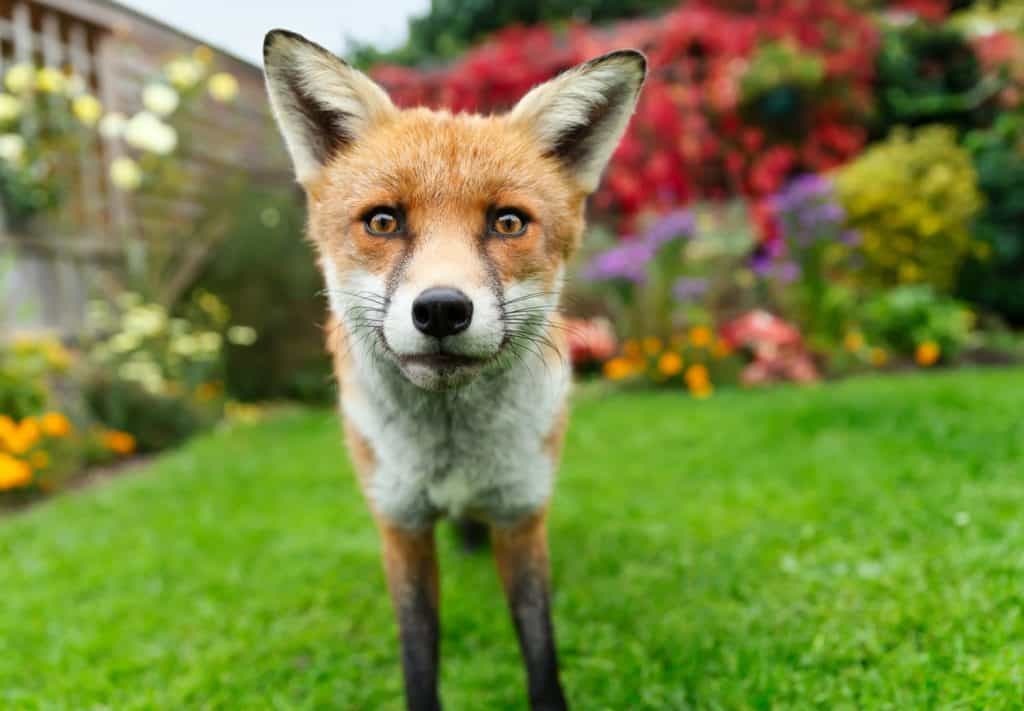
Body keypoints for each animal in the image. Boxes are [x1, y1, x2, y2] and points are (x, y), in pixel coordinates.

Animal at [263, 29, 646, 711]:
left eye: (508, 222)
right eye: (383, 221)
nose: (441, 308)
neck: (452, 452)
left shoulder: (521, 513)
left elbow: (539, 645)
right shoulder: (401, 526)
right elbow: (419, 653)